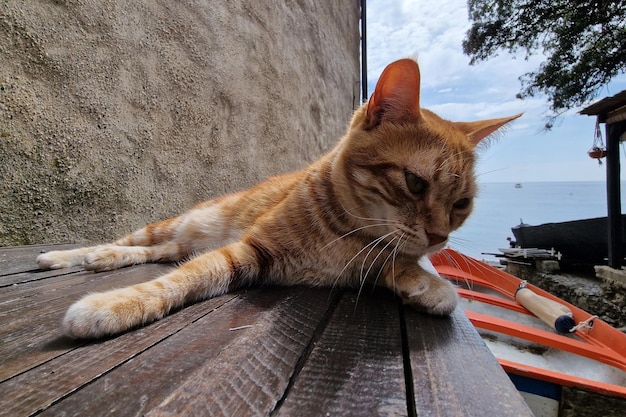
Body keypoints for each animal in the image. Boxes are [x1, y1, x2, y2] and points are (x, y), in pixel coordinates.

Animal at [36, 58, 520, 338]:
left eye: (461, 204)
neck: (347, 237)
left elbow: (396, 261)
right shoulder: (249, 250)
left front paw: (425, 283)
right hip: (172, 226)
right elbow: (180, 280)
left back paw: (100, 261)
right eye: (415, 183)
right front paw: (114, 305)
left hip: (180, 241)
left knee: (159, 253)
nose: (440, 239)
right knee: (133, 243)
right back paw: (67, 256)